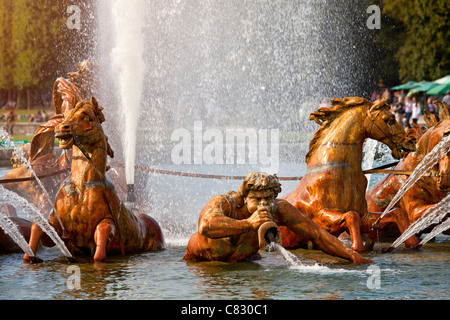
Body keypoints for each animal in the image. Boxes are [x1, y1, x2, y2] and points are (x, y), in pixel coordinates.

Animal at [23, 97, 164, 262]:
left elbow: (102, 234)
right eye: (65, 115)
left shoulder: (108, 223)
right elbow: (38, 226)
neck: (82, 185)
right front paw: (30, 256)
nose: (61, 127)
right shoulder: (58, 226)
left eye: (86, 117)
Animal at [282, 96, 418, 251]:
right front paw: (356, 247)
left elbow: (396, 212)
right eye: (388, 120)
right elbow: (351, 216)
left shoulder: (364, 216)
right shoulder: (319, 216)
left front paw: (410, 242)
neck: (343, 173)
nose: (410, 142)